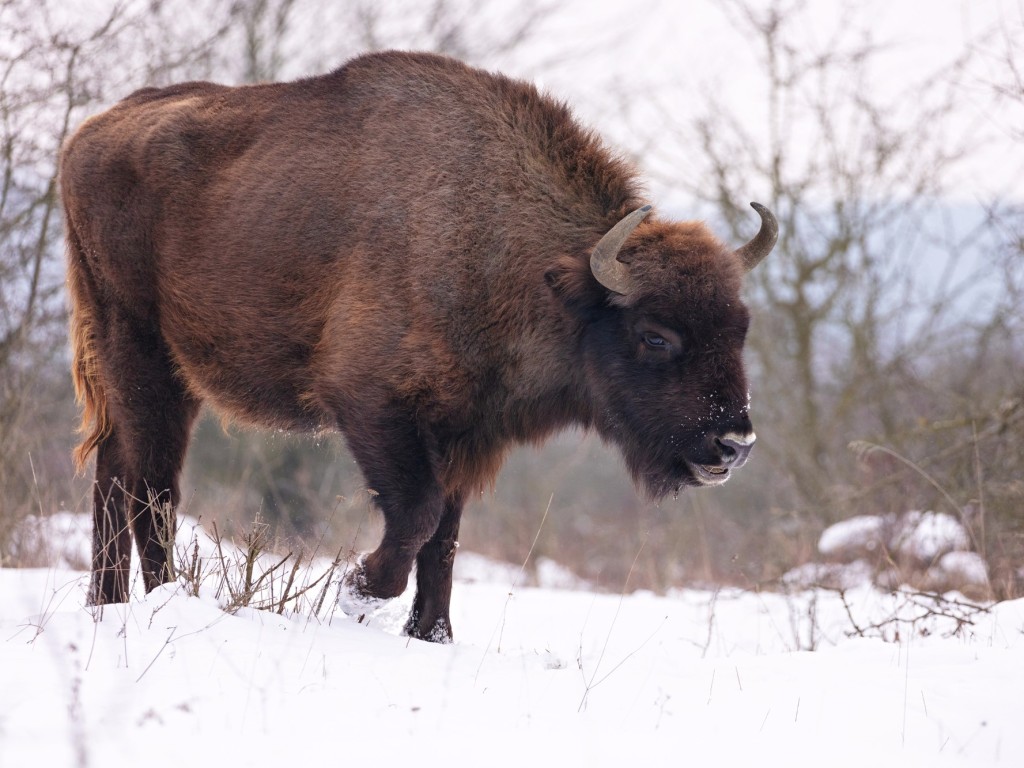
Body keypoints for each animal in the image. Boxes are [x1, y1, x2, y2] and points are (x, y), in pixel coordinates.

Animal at [61, 49, 774, 643]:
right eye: (655, 335)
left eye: (740, 327)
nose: (734, 444)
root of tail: (87, 136)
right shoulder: (373, 407)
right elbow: (418, 516)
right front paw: (358, 591)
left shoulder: (461, 433)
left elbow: (445, 541)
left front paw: (432, 635)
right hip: (143, 356)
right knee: (151, 488)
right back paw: (162, 601)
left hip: (154, 378)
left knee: (117, 475)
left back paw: (107, 603)